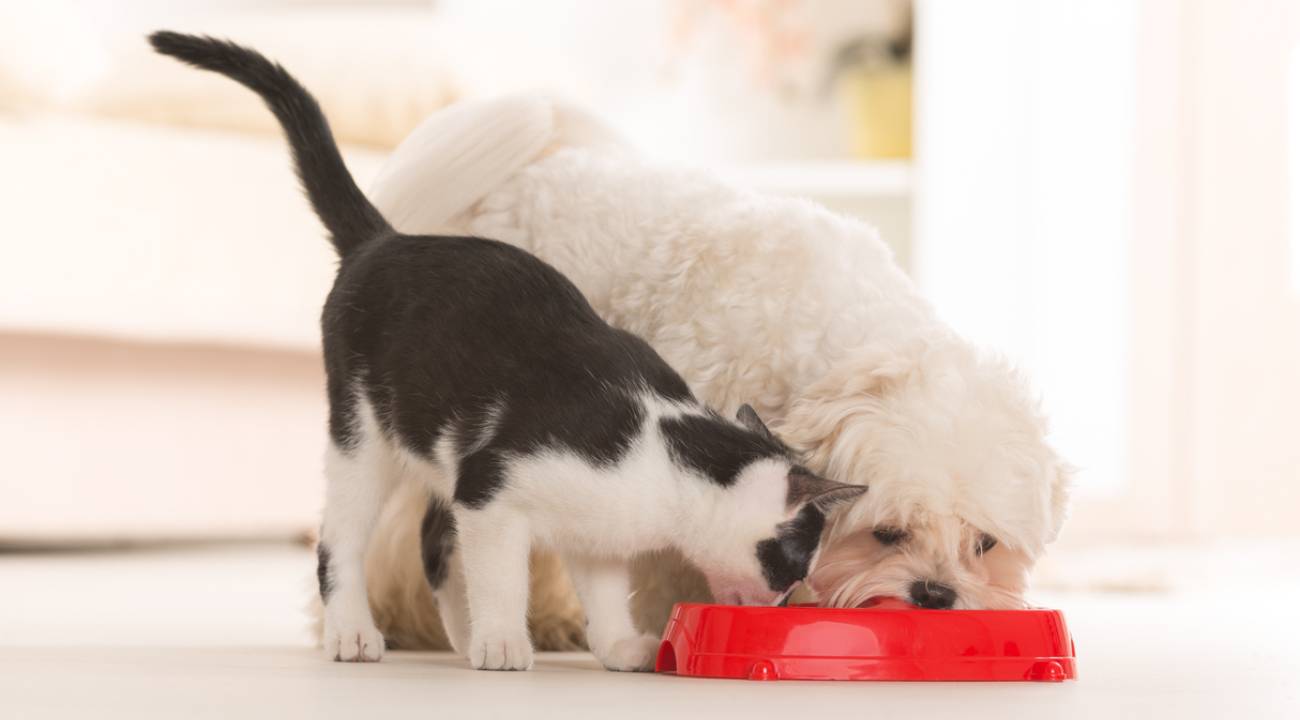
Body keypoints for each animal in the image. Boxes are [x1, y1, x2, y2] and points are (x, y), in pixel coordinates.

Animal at [152, 30, 863, 670]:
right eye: (795, 562)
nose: (788, 602)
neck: (662, 452)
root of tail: (384, 239)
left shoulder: (592, 533)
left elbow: (603, 593)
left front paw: (616, 647)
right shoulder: (490, 489)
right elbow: (500, 574)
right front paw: (502, 641)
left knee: (432, 541)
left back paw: (458, 636)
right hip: (363, 436)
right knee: (341, 540)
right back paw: (358, 633)